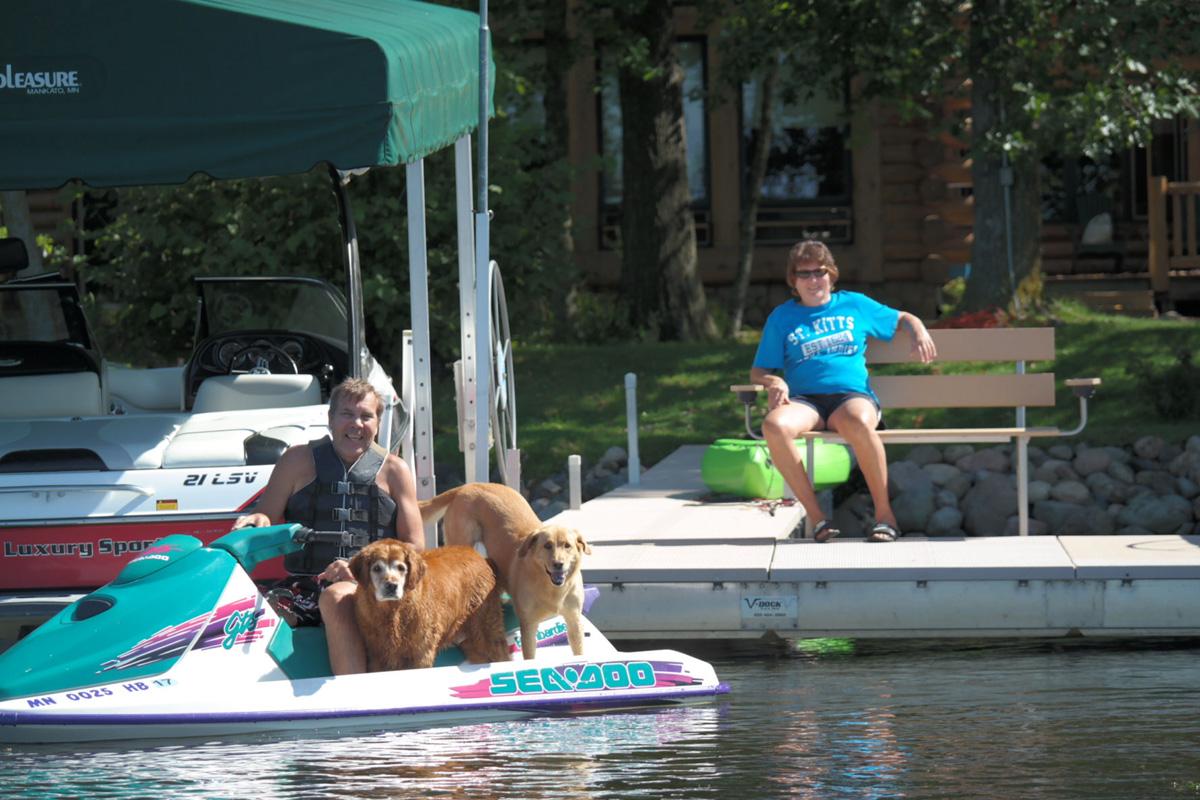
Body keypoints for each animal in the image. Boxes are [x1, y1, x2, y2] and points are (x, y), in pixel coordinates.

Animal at [348, 539, 509, 672]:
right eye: (376, 568)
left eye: (401, 568)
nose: (391, 586)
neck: (393, 611)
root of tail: (482, 557)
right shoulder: (377, 655)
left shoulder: (421, 652)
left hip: (486, 628)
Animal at [420, 483, 592, 661]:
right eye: (547, 545)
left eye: (567, 545)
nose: (558, 564)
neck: (552, 590)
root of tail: (466, 486)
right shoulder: (529, 626)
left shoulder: (574, 621)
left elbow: (578, 650)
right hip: (463, 539)